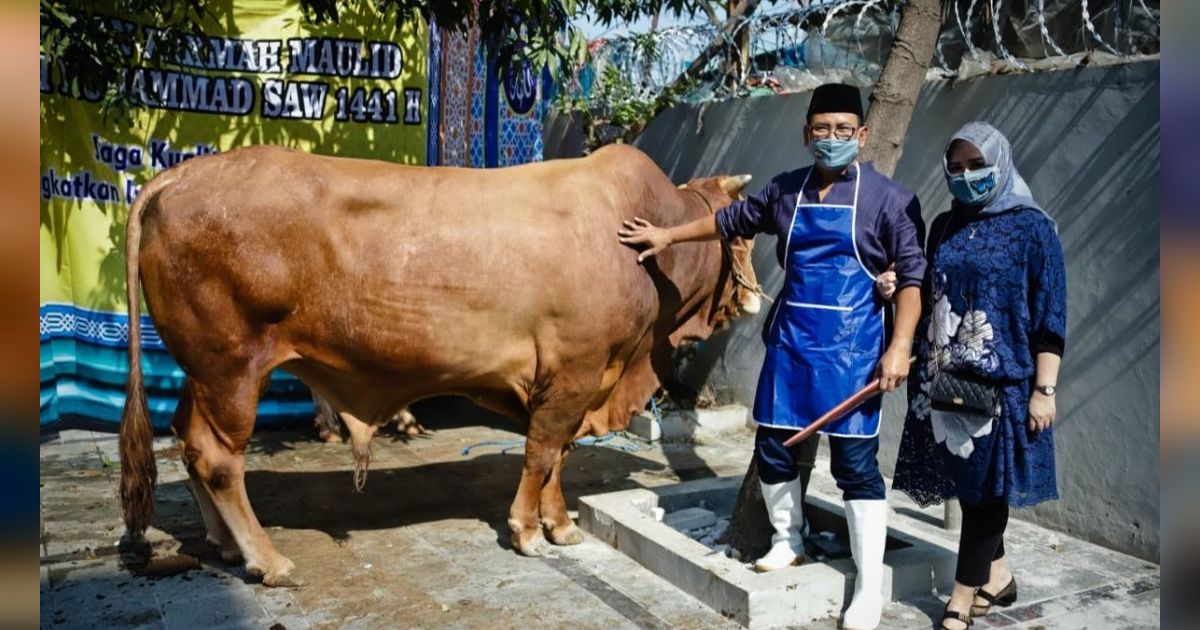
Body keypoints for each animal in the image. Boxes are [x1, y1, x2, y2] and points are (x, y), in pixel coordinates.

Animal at [119, 142, 758, 585]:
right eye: (745, 231)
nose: (755, 297)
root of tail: (182, 173)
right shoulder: (573, 373)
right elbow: (542, 453)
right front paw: (529, 531)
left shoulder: (580, 380)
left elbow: (560, 457)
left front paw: (562, 525)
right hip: (232, 365)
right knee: (217, 457)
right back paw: (268, 559)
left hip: (199, 370)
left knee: (187, 439)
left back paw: (226, 543)